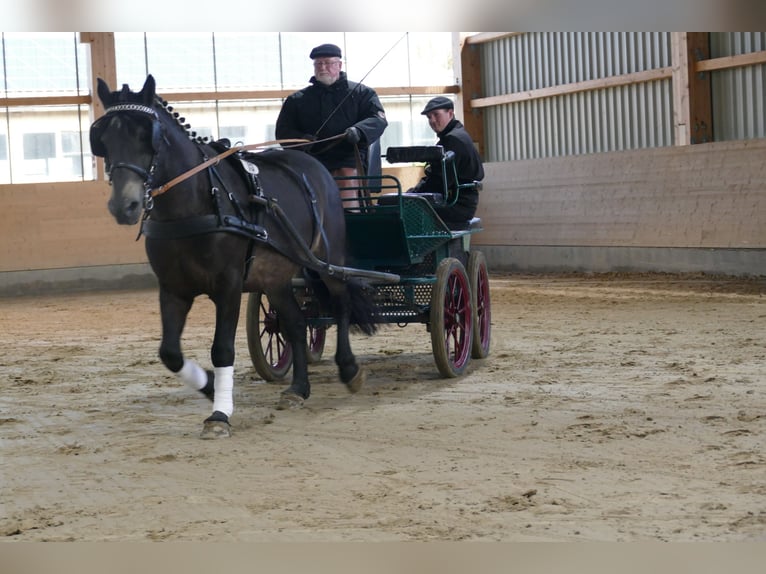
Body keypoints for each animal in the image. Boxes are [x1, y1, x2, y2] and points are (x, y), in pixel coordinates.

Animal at [92, 74, 378, 438]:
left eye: (148, 135)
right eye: (103, 139)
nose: (124, 206)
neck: (196, 203)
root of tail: (313, 162)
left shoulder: (227, 286)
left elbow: (222, 348)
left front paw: (219, 414)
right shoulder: (173, 289)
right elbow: (170, 353)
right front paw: (211, 387)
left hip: (328, 259)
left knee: (340, 304)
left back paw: (349, 369)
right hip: (276, 277)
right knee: (296, 324)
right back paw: (298, 389)